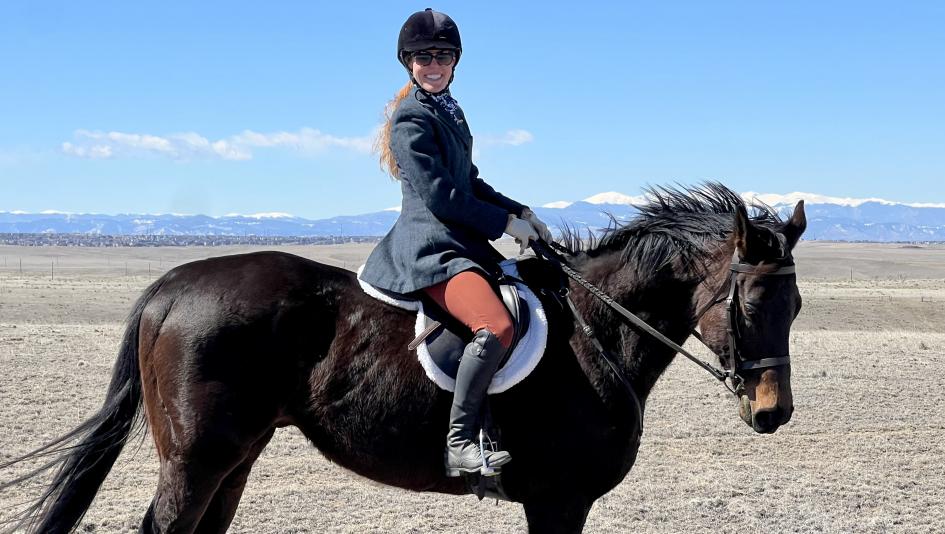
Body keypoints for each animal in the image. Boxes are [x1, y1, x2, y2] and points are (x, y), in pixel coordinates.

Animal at [1, 185, 804, 534]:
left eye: (795, 307)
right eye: (750, 303)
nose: (773, 413)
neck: (596, 329)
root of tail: (170, 285)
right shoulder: (559, 499)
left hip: (234, 459)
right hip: (197, 459)